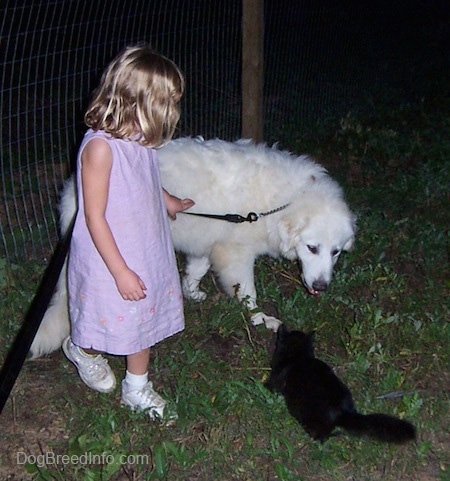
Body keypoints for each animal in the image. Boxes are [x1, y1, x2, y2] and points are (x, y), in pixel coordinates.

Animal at [29, 137, 356, 358]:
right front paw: (260, 319)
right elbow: (247, 293)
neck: (283, 202)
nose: (321, 287)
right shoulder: (236, 253)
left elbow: (196, 268)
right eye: (312, 248)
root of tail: (74, 187)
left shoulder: (207, 240)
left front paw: (192, 292)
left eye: (336, 251)